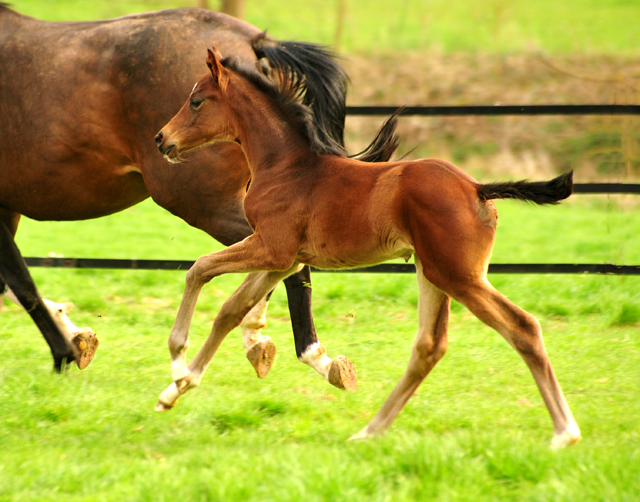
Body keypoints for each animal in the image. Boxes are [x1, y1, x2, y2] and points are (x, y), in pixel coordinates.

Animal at [0, 3, 390, 386]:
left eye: (196, 101)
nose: (161, 139)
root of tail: (254, 41)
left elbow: (21, 283)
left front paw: (65, 352)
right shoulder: (8, 210)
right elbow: (13, 282)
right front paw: (75, 336)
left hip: (204, 204)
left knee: (288, 266)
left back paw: (305, 354)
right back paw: (265, 341)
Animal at [155, 47, 580, 448]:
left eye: (197, 100)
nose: (161, 139)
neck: (287, 166)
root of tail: (477, 188)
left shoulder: (271, 247)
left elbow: (200, 268)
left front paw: (177, 363)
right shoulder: (286, 260)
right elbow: (231, 310)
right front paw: (175, 390)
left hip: (458, 276)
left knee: (522, 327)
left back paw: (564, 432)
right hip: (433, 274)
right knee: (429, 347)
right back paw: (370, 431)